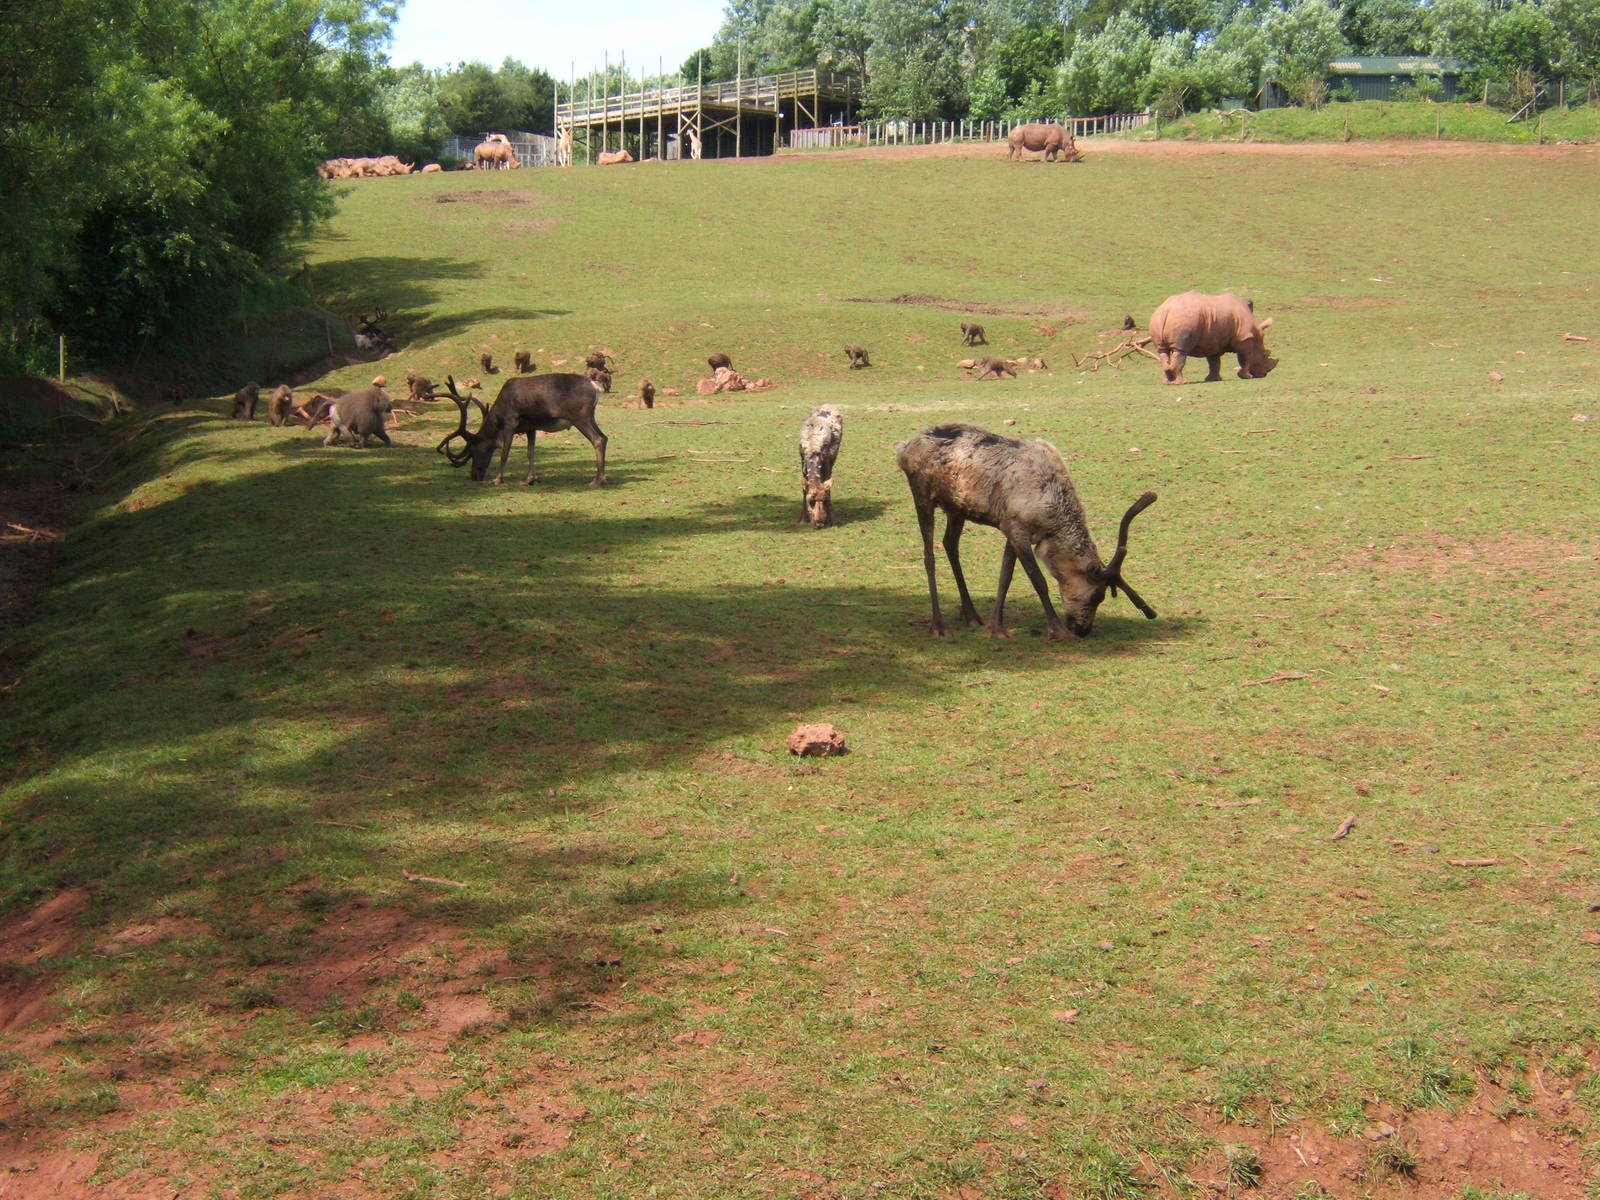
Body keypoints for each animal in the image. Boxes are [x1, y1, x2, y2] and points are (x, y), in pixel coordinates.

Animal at [438, 373, 607, 486]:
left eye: (474, 451)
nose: (474, 476)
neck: (498, 417)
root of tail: (596, 387)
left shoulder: (510, 423)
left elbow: (504, 453)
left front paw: (497, 479)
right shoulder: (530, 427)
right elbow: (530, 452)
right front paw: (530, 479)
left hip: (580, 417)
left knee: (597, 439)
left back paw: (596, 481)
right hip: (590, 416)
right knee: (604, 437)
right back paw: (603, 478)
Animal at [895, 423, 1157, 640]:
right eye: (1097, 596)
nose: (1083, 630)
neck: (1052, 516)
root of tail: (905, 449)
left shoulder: (1010, 526)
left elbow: (1006, 576)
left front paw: (996, 627)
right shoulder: (1017, 529)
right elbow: (1038, 580)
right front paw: (1057, 630)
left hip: (956, 507)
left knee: (950, 544)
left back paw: (971, 615)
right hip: (922, 493)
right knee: (929, 555)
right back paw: (939, 625)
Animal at [1148, 291, 1277, 385]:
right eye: (1265, 355)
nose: (1264, 374)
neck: (1255, 335)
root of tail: (1167, 310)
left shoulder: (1212, 342)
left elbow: (1214, 361)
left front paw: (1214, 379)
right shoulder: (1244, 339)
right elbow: (1245, 358)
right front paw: (1247, 376)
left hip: (1157, 319)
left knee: (1163, 351)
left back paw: (1169, 382)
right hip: (1184, 319)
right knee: (1181, 351)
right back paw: (1182, 383)